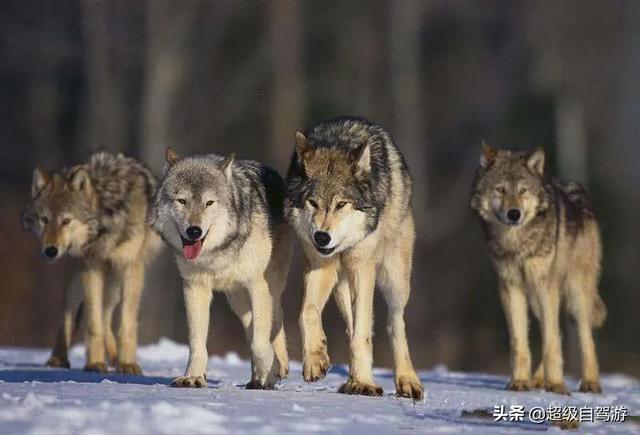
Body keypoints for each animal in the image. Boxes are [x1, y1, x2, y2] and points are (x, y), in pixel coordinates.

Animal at [22, 153, 160, 374]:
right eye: (44, 219)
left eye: (66, 221)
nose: (50, 250)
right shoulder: (91, 266)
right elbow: (93, 322)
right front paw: (95, 363)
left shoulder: (131, 267)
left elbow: (125, 324)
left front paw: (127, 364)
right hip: (77, 280)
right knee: (69, 317)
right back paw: (58, 359)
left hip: (114, 282)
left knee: (106, 315)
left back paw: (114, 357)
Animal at [149, 148, 292, 390]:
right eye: (182, 200)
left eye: (209, 203)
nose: (194, 231)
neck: (217, 252)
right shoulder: (194, 287)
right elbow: (197, 343)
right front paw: (193, 377)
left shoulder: (257, 285)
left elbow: (261, 342)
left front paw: (270, 371)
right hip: (237, 301)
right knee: (251, 327)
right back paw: (255, 379)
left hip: (269, 286)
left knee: (275, 319)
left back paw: (277, 368)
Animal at [284, 116, 424, 402]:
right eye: (313, 202)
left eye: (341, 204)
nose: (322, 237)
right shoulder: (320, 265)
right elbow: (307, 312)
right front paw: (315, 360)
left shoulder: (362, 267)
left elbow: (363, 334)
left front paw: (364, 382)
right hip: (341, 283)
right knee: (352, 325)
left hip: (395, 280)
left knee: (394, 323)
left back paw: (406, 381)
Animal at [472, 144, 608, 396]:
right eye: (500, 190)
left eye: (523, 190)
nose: (514, 213)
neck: (516, 243)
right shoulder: (510, 286)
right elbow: (520, 341)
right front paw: (520, 382)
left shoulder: (546, 286)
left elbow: (551, 342)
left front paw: (556, 385)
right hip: (536, 298)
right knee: (555, 331)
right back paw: (536, 380)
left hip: (574, 293)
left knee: (583, 337)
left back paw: (590, 383)